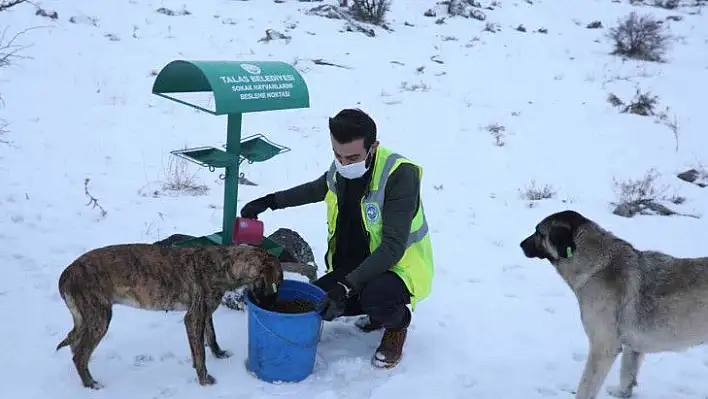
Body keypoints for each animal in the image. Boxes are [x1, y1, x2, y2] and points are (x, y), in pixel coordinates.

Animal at [55, 244, 284, 390]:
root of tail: (66, 273)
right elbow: (200, 352)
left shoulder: (205, 313)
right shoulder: (193, 317)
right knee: (79, 355)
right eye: (277, 283)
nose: (274, 306)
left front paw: (218, 354)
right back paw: (91, 384)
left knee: (75, 346)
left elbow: (210, 336)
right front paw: (204, 379)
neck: (225, 265)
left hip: (87, 319)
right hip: (100, 319)